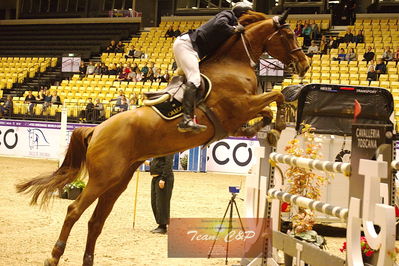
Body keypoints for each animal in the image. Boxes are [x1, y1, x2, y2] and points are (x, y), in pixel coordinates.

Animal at [16, 10, 310, 266]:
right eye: (288, 36)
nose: (305, 65)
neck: (233, 63)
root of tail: (97, 129)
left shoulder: (241, 112)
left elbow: (268, 108)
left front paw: (266, 129)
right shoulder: (239, 107)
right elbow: (276, 96)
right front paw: (278, 123)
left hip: (118, 181)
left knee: (96, 221)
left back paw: (88, 260)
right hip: (102, 178)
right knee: (74, 211)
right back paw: (54, 256)